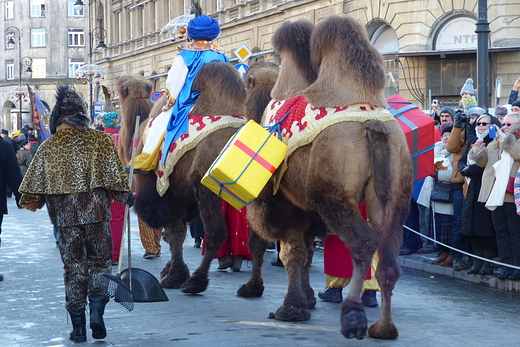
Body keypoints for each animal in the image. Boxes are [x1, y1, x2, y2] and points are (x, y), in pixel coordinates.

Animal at [241, 15, 414, 340]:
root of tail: (373, 127)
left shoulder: (282, 201)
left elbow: (290, 252)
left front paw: (291, 308)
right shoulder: (306, 207)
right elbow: (307, 251)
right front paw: (306, 299)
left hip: (335, 195)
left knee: (363, 244)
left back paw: (354, 317)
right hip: (396, 194)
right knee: (388, 255)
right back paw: (384, 328)